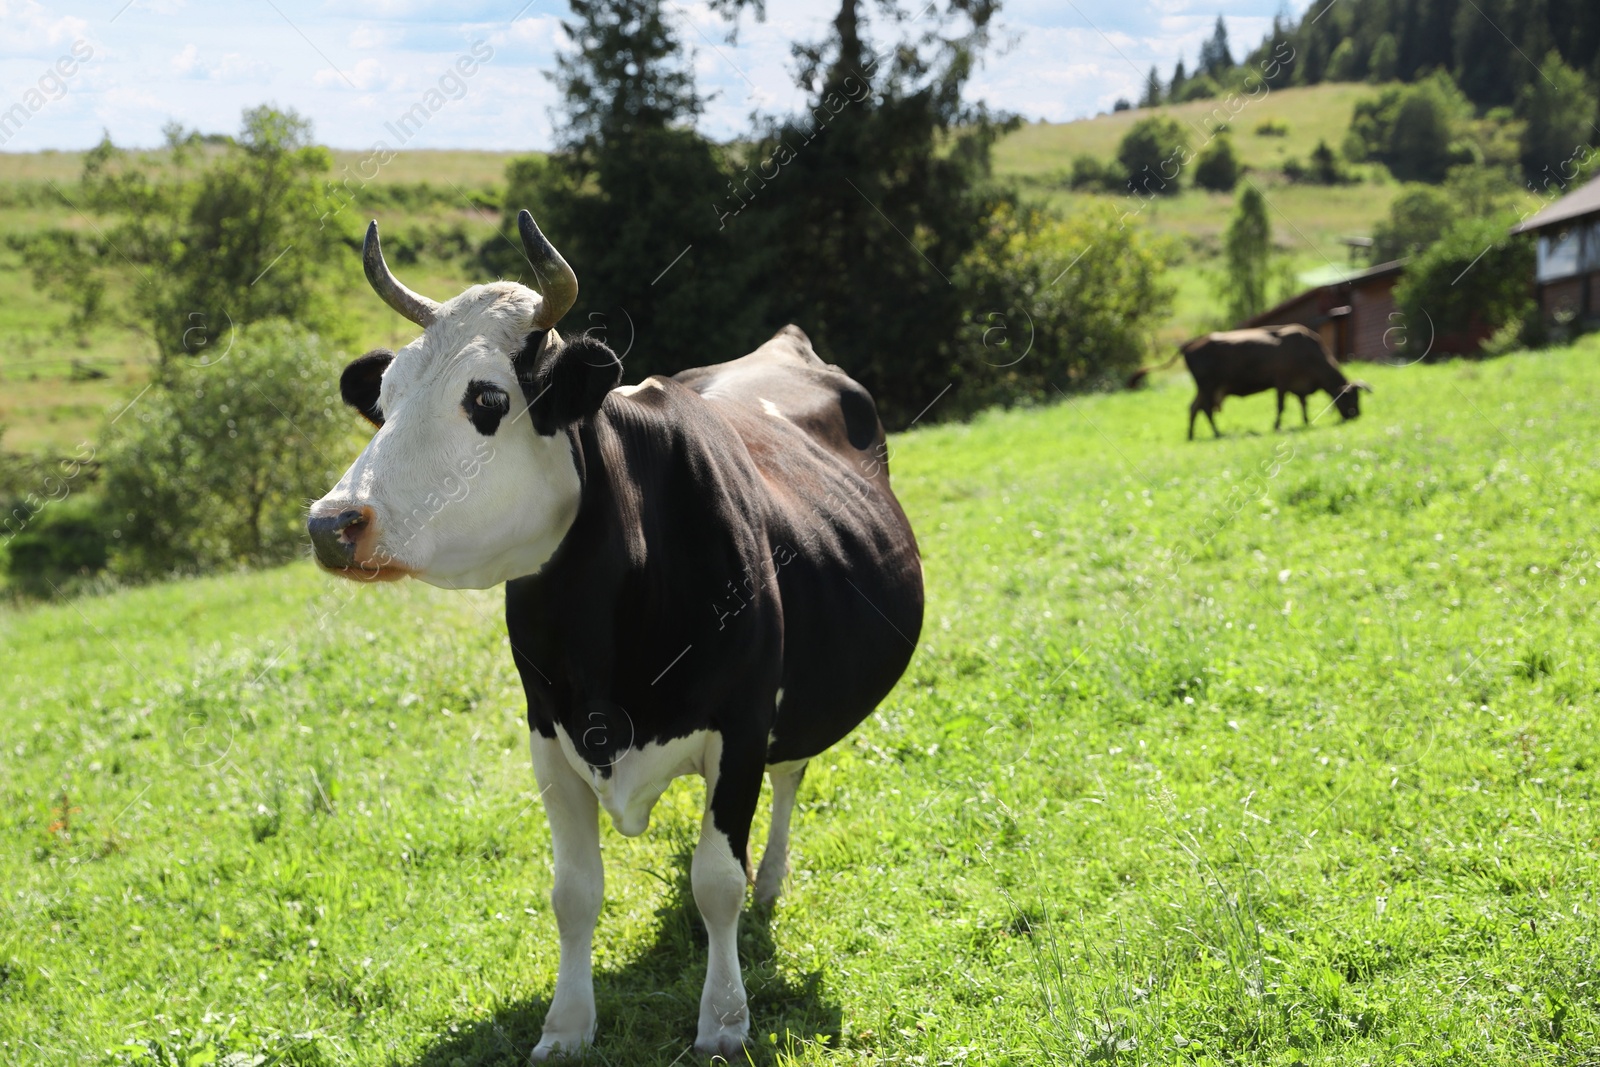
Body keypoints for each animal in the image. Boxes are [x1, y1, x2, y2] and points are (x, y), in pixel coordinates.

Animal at [307, 211, 928, 1062]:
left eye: (487, 397)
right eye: (387, 395)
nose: (331, 522)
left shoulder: (742, 723)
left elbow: (715, 882)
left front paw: (723, 1019)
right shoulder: (546, 730)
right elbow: (573, 892)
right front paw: (567, 1024)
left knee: (789, 776)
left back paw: (770, 877)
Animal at [1184, 326, 1369, 441]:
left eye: (1358, 398)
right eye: (1351, 398)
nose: (1357, 415)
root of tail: (1190, 346)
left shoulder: (1299, 386)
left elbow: (1303, 404)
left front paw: (1306, 422)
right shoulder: (1282, 382)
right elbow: (1281, 406)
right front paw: (1277, 426)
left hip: (1207, 389)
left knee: (1194, 407)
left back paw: (1191, 435)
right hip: (1208, 387)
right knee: (1206, 410)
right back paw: (1217, 433)